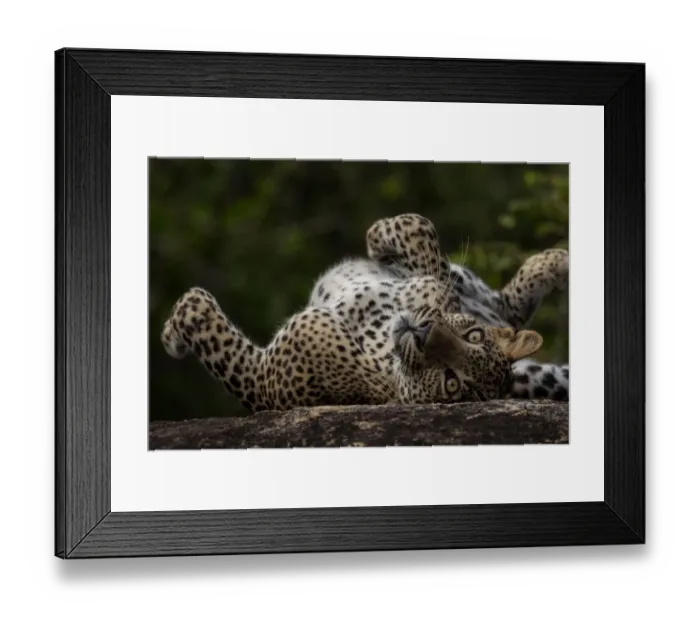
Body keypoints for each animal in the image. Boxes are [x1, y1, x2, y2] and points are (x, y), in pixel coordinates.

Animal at [160, 284, 543, 413]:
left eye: (452, 382)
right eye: (474, 335)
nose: (423, 331)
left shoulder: (259, 378)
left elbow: (198, 307)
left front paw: (170, 336)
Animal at [309, 213, 570, 401]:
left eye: (451, 382)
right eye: (473, 336)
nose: (424, 333)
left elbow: (433, 267)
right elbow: (419, 227)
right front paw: (382, 239)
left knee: (504, 307)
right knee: (502, 305)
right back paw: (555, 262)